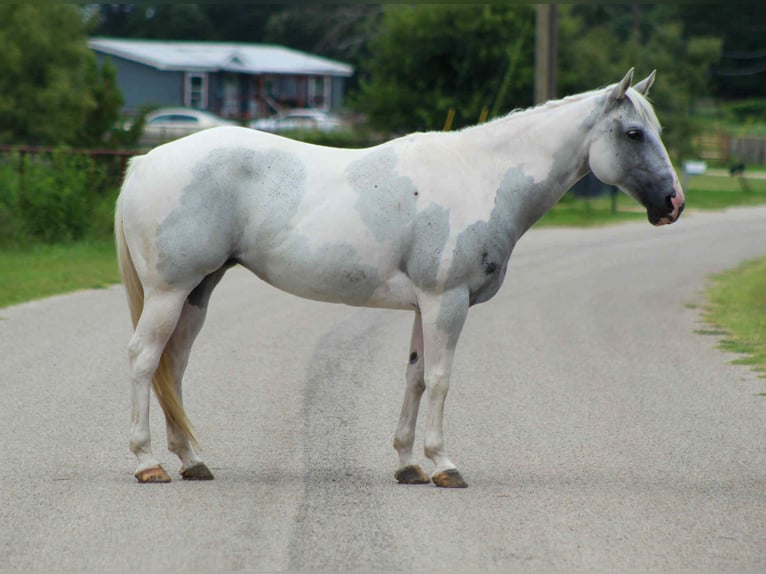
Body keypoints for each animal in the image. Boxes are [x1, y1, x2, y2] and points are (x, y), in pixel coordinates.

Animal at [115, 69, 684, 487]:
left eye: (656, 130)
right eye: (634, 133)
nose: (673, 203)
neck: (481, 178)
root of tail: (144, 161)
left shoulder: (424, 306)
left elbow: (415, 376)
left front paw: (409, 464)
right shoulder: (446, 301)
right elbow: (440, 378)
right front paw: (444, 464)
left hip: (197, 293)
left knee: (174, 368)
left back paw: (191, 461)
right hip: (169, 293)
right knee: (143, 360)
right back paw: (147, 462)